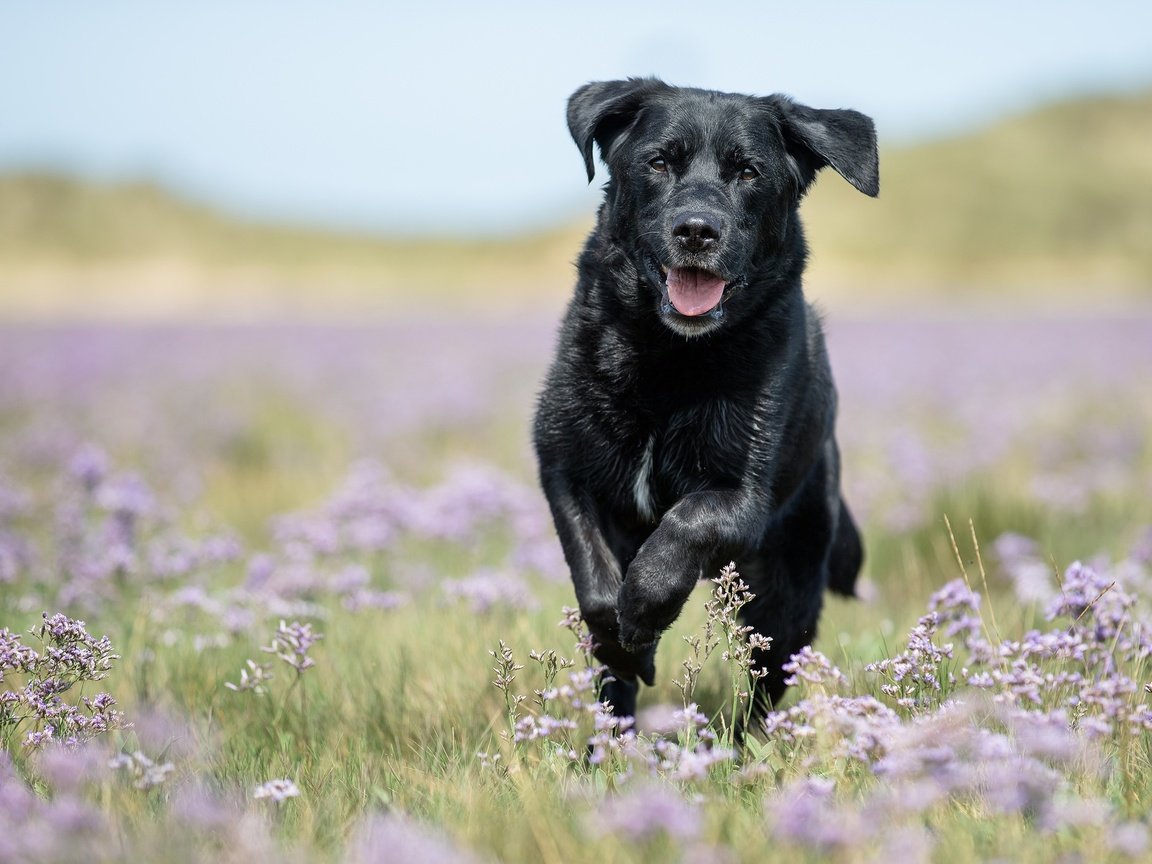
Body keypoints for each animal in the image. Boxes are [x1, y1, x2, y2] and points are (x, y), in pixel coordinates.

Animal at [534, 79, 875, 723]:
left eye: (748, 172)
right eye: (658, 162)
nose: (696, 230)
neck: (669, 360)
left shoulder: (742, 496)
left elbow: (684, 524)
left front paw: (645, 607)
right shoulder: (565, 467)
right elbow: (594, 583)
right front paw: (626, 643)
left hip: (786, 592)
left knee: (768, 680)